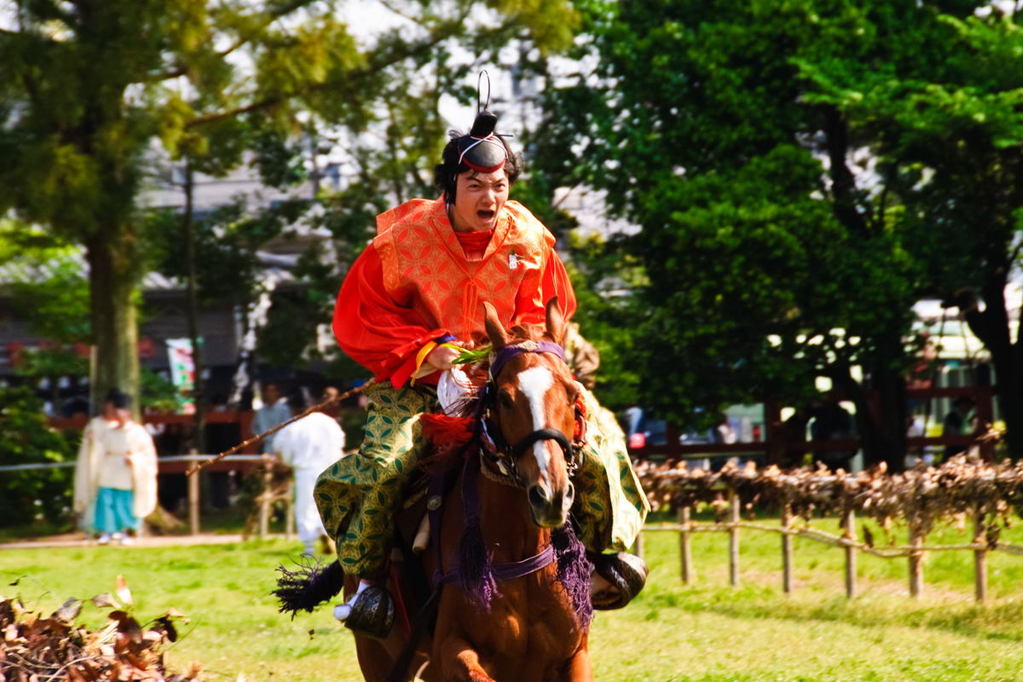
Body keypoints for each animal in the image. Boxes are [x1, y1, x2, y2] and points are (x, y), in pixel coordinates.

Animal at [353, 298, 593, 682]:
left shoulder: (575, 654)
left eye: (572, 394)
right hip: (379, 658)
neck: (519, 549)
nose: (550, 494)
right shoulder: (451, 651)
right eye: (506, 398)